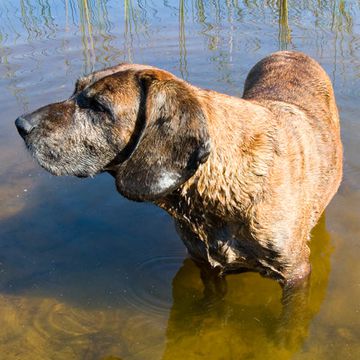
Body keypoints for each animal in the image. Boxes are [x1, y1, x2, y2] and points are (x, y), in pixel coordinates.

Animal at [16, 50, 344, 286]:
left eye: (99, 107)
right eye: (75, 90)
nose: (21, 124)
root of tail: (290, 50)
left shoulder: (296, 273)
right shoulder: (206, 266)